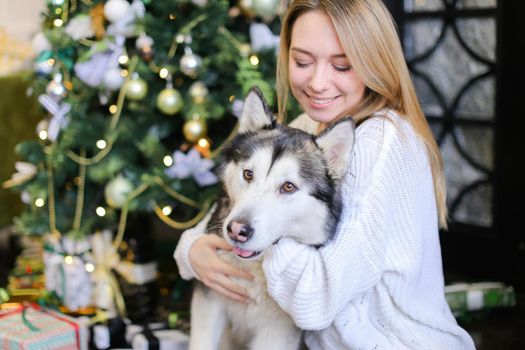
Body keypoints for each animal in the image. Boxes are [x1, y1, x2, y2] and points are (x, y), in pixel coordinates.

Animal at [186, 87, 354, 350]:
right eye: (248, 174)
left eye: (288, 187)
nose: (237, 230)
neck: (253, 270)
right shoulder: (209, 303)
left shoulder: (276, 331)